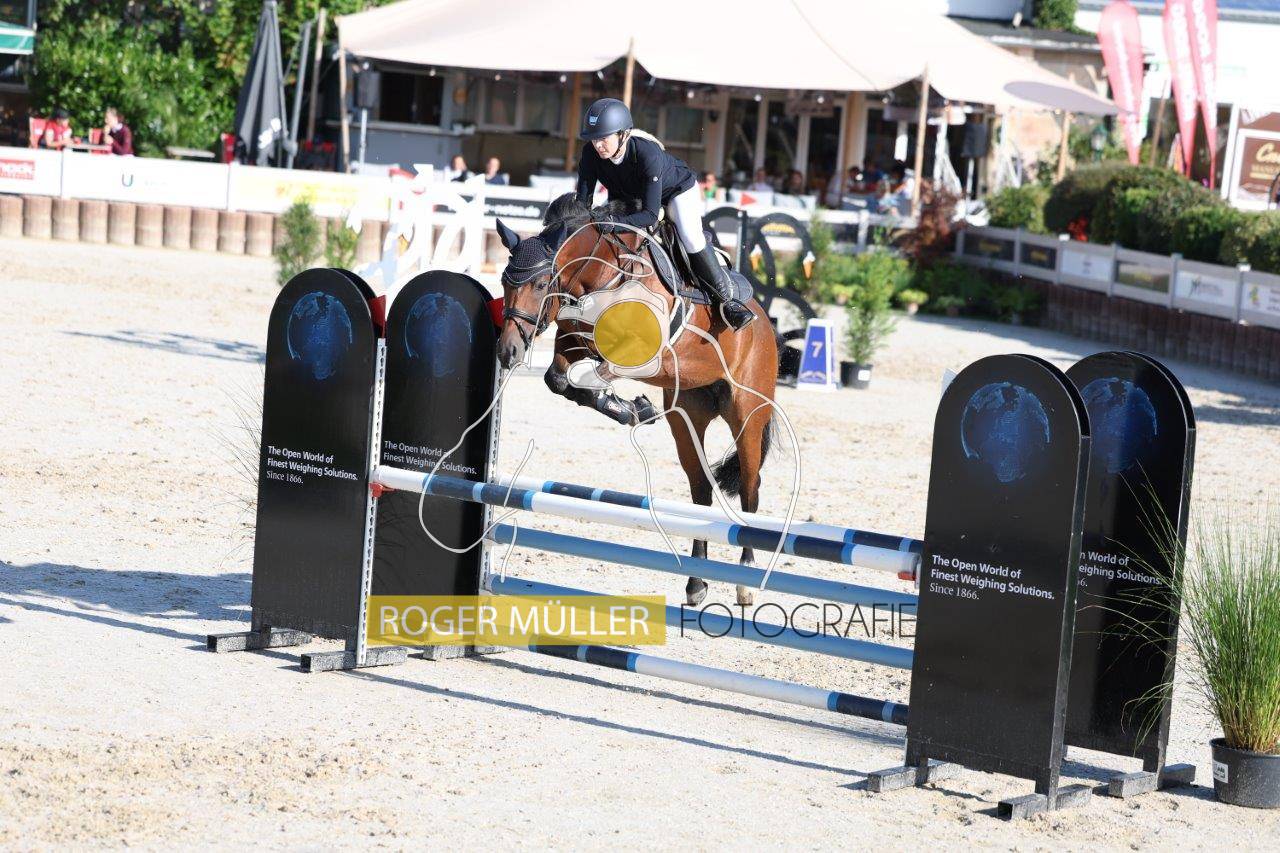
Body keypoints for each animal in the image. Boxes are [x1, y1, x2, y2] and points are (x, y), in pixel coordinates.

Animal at [493, 194, 779, 606]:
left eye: (541, 282)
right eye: (504, 280)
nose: (508, 351)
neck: (599, 275)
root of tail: (765, 324)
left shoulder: (640, 353)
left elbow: (589, 374)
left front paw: (633, 407)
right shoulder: (572, 341)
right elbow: (559, 380)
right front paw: (632, 409)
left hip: (747, 414)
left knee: (750, 489)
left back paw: (744, 582)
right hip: (688, 416)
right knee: (701, 489)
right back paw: (697, 584)